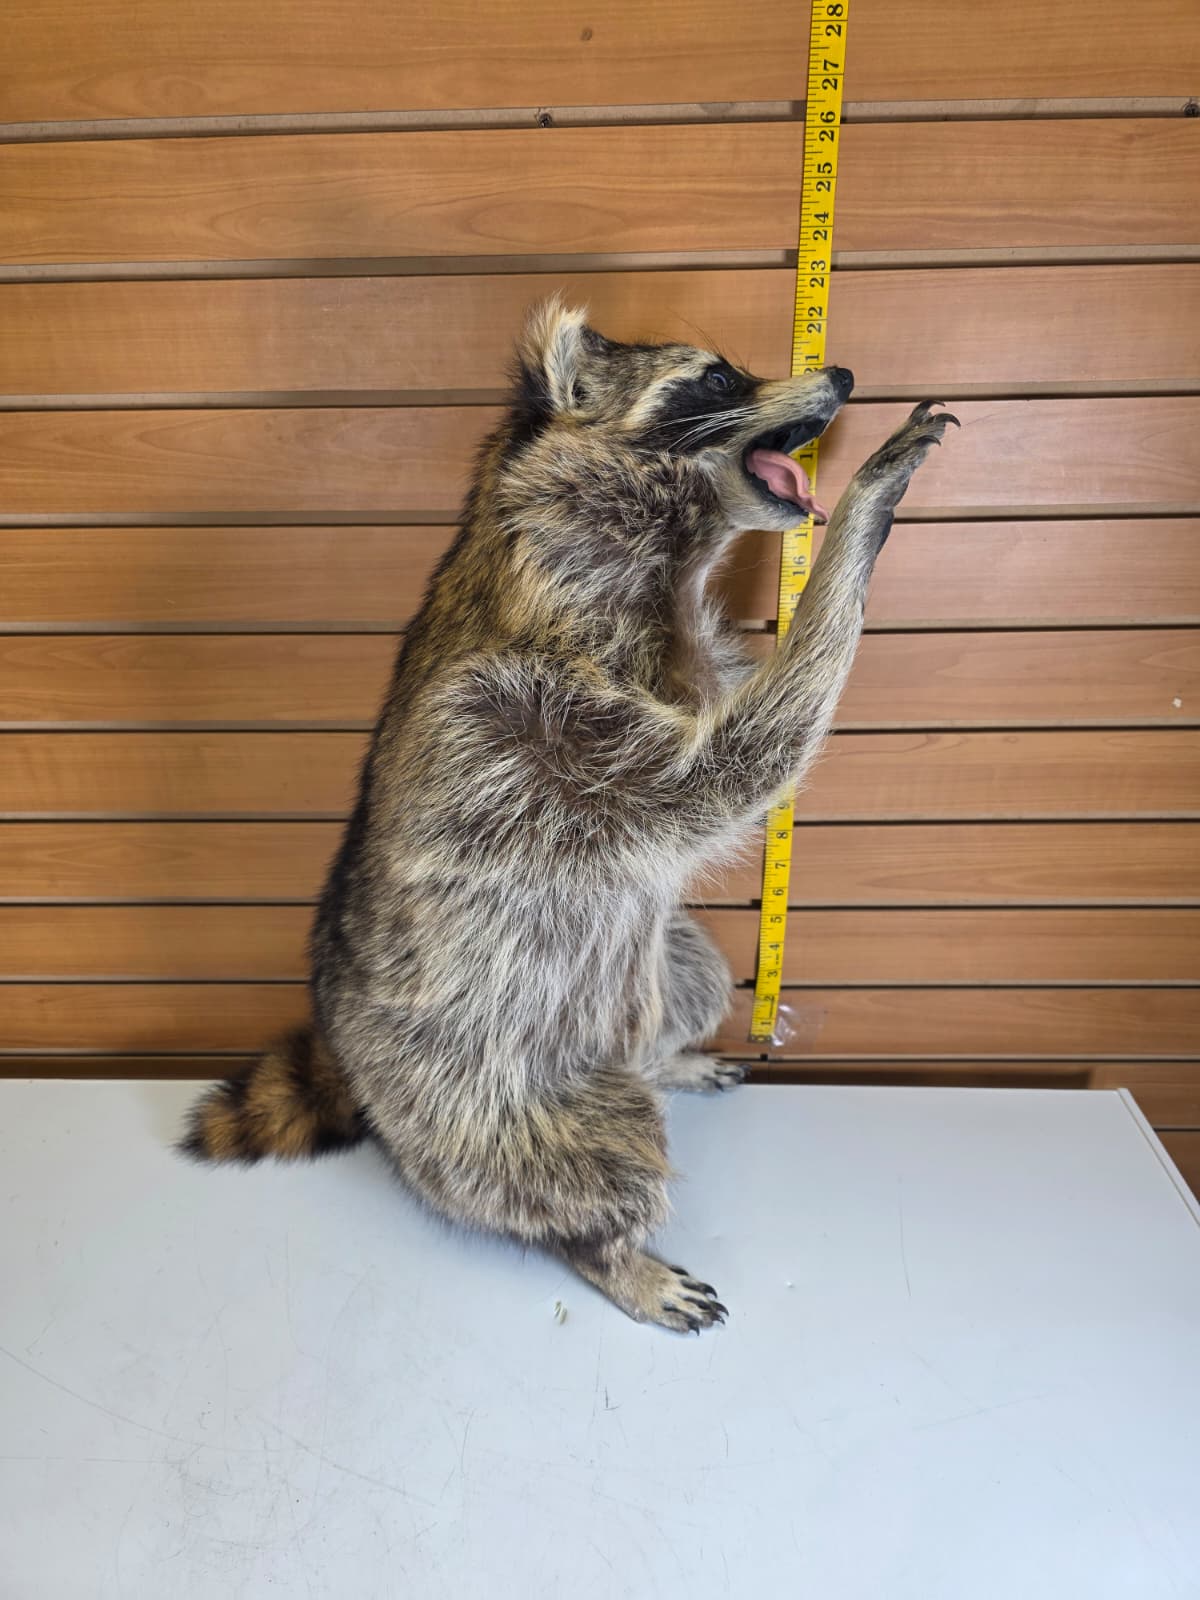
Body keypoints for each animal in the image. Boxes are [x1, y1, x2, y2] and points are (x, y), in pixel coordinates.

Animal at [182, 300, 956, 1333]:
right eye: (717, 379)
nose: (843, 375)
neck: (663, 562)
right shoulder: (534, 711)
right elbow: (732, 763)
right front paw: (866, 517)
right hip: (473, 1096)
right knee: (582, 1160)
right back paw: (610, 1248)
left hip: (645, 982)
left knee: (694, 975)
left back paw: (666, 1056)